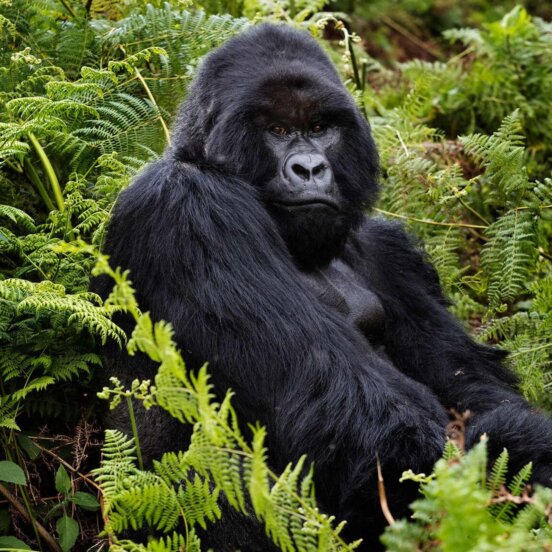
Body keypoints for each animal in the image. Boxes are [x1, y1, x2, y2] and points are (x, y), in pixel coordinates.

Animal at [100, 23, 552, 548]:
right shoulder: (187, 209)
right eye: (276, 131)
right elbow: (373, 429)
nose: (311, 168)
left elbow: (475, 385)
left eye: (320, 128)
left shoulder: (392, 250)